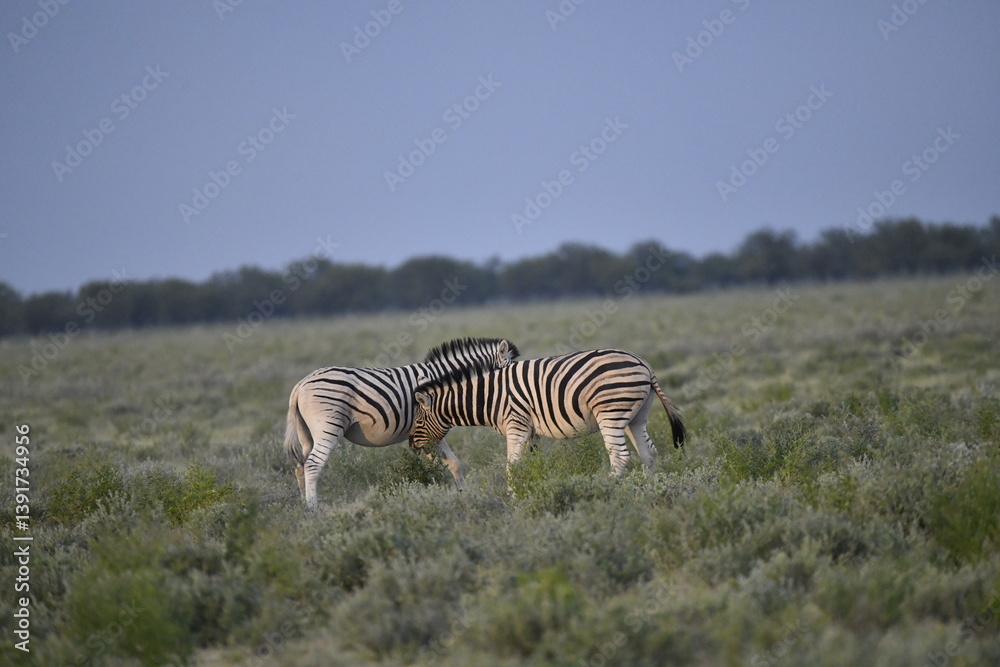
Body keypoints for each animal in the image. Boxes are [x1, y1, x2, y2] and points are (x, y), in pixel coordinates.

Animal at [284, 337, 519, 508]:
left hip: (306, 433)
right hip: (329, 426)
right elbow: (446, 464)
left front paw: (461, 494)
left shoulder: (430, 431)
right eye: (508, 373)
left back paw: (304, 507)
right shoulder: (433, 427)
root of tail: (300, 385)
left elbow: (452, 463)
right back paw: (314, 510)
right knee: (313, 465)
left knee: (300, 466)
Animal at [409, 349, 685, 481]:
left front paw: (514, 498)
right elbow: (530, 464)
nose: (411, 445)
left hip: (610, 412)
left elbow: (512, 466)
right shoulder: (531, 431)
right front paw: (532, 486)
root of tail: (644, 365)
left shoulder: (516, 424)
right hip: (636, 416)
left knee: (619, 456)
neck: (489, 396)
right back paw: (643, 489)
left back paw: (609, 488)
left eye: (418, 420)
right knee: (648, 453)